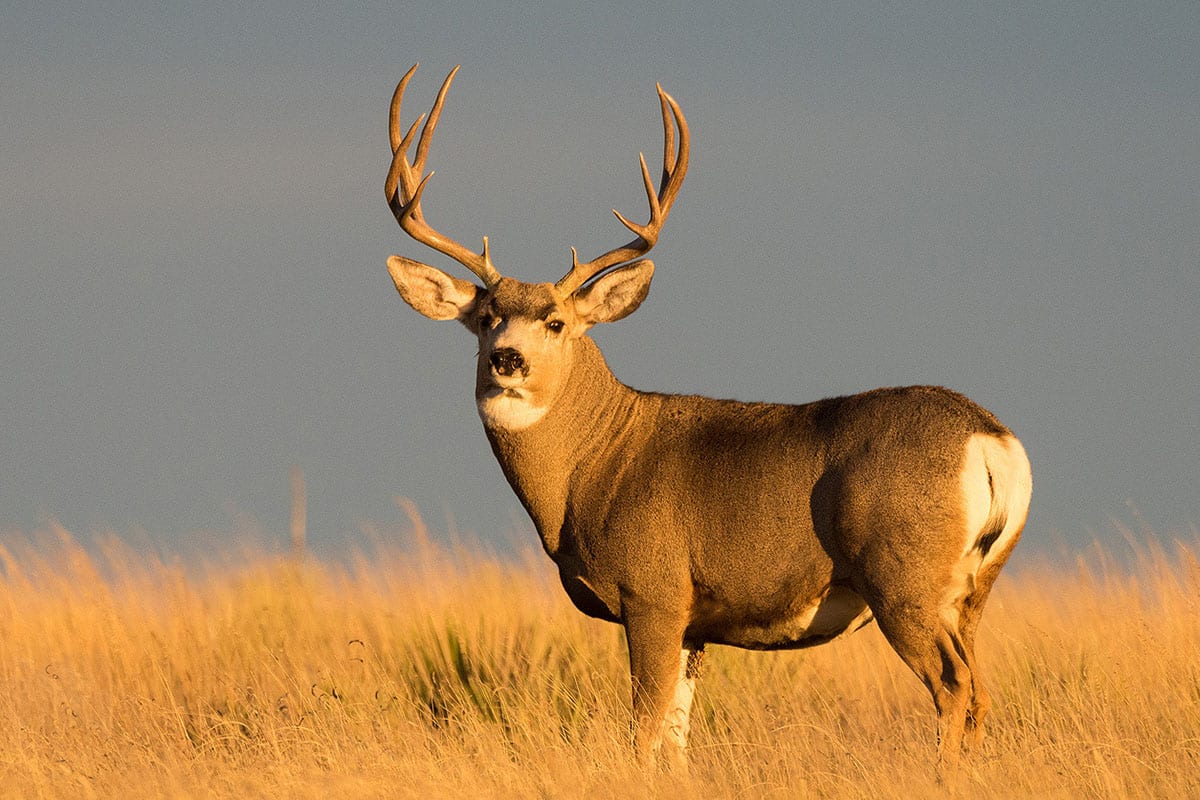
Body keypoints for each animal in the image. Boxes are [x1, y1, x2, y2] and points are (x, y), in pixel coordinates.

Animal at [382, 64, 1033, 776]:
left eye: (555, 321)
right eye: (485, 318)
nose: (507, 358)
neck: (591, 468)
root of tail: (989, 438)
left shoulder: (654, 594)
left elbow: (642, 732)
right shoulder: (696, 625)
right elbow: (676, 737)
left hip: (903, 577)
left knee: (953, 685)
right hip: (974, 589)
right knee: (980, 690)